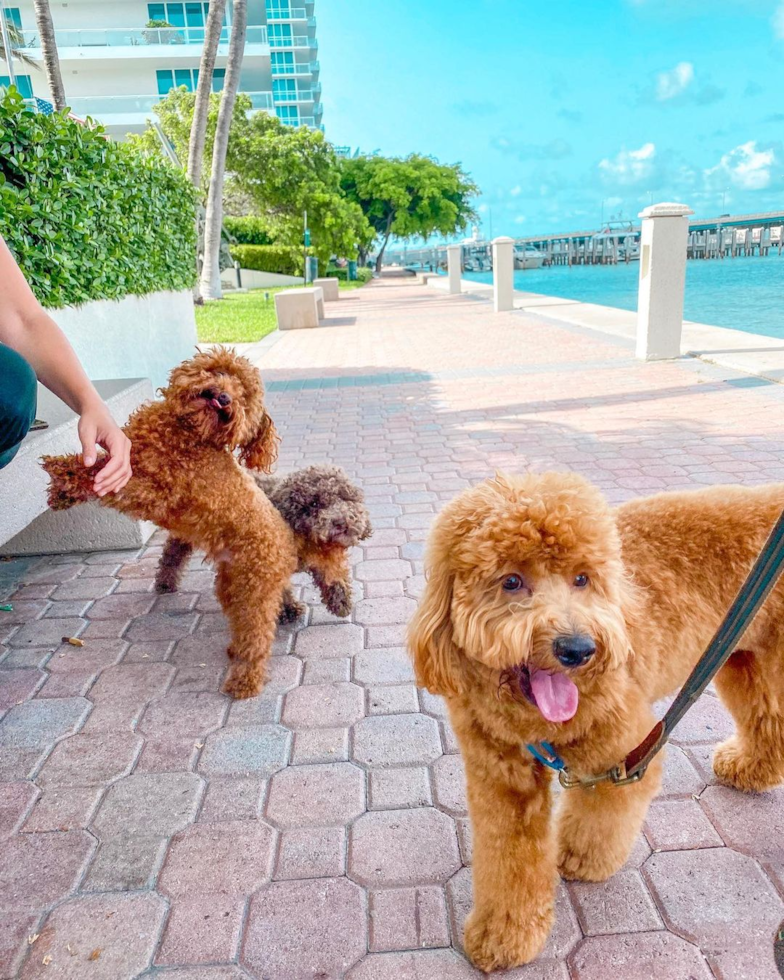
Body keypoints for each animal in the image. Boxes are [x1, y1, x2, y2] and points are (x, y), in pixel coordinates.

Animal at [40, 348, 290, 700]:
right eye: (223, 373)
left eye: (245, 397)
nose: (225, 398)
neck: (188, 434)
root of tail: (287, 543)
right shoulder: (131, 453)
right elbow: (101, 461)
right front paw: (64, 481)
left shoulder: (155, 494)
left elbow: (110, 479)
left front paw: (70, 479)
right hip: (232, 586)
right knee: (241, 624)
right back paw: (234, 650)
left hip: (256, 590)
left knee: (257, 637)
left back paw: (244, 681)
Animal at [156, 466, 374, 620]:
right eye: (314, 504)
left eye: (345, 497)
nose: (341, 523)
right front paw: (289, 609)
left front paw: (340, 601)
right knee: (172, 553)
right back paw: (165, 583)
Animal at [408, 472, 784, 972]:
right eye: (512, 581)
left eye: (582, 579)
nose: (577, 649)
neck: (534, 720)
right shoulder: (500, 778)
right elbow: (508, 858)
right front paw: (505, 934)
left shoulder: (625, 752)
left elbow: (599, 819)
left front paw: (577, 857)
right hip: (742, 656)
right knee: (767, 719)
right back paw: (752, 768)